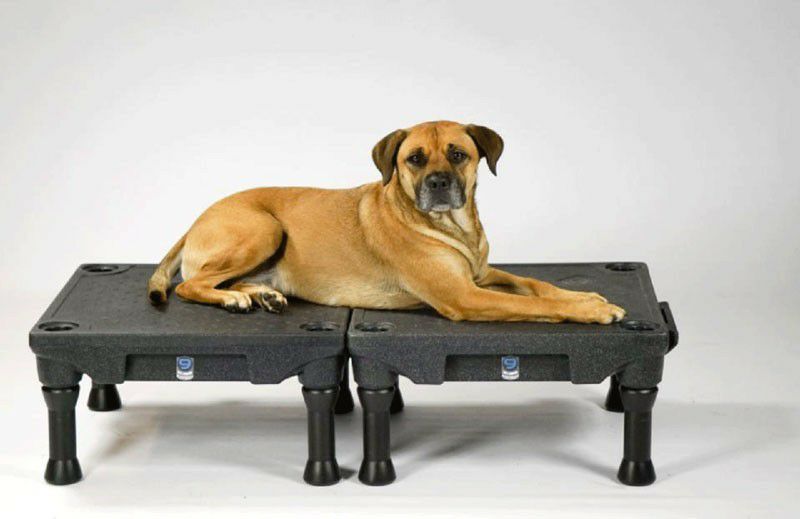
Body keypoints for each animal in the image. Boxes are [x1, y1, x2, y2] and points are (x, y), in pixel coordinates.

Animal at [147, 121, 625, 324]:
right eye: (414, 159)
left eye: (458, 154)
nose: (438, 183)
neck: (453, 227)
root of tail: (195, 220)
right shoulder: (464, 295)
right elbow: (533, 304)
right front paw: (589, 310)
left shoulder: (481, 276)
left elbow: (536, 285)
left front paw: (584, 296)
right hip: (264, 229)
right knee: (191, 285)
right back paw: (234, 299)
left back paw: (259, 294)